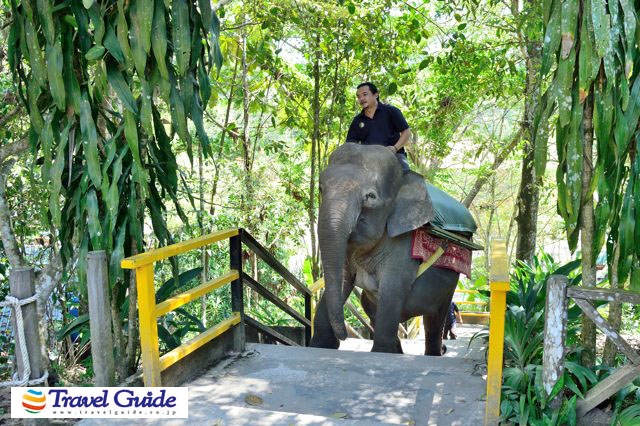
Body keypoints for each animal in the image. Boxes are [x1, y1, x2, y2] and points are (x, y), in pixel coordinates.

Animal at [310, 143, 476, 356]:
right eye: (321, 188)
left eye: (370, 197)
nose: (344, 337)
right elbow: (344, 281)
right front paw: (320, 346)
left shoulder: (403, 245)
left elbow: (392, 290)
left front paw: (381, 352)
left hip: (450, 284)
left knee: (435, 319)